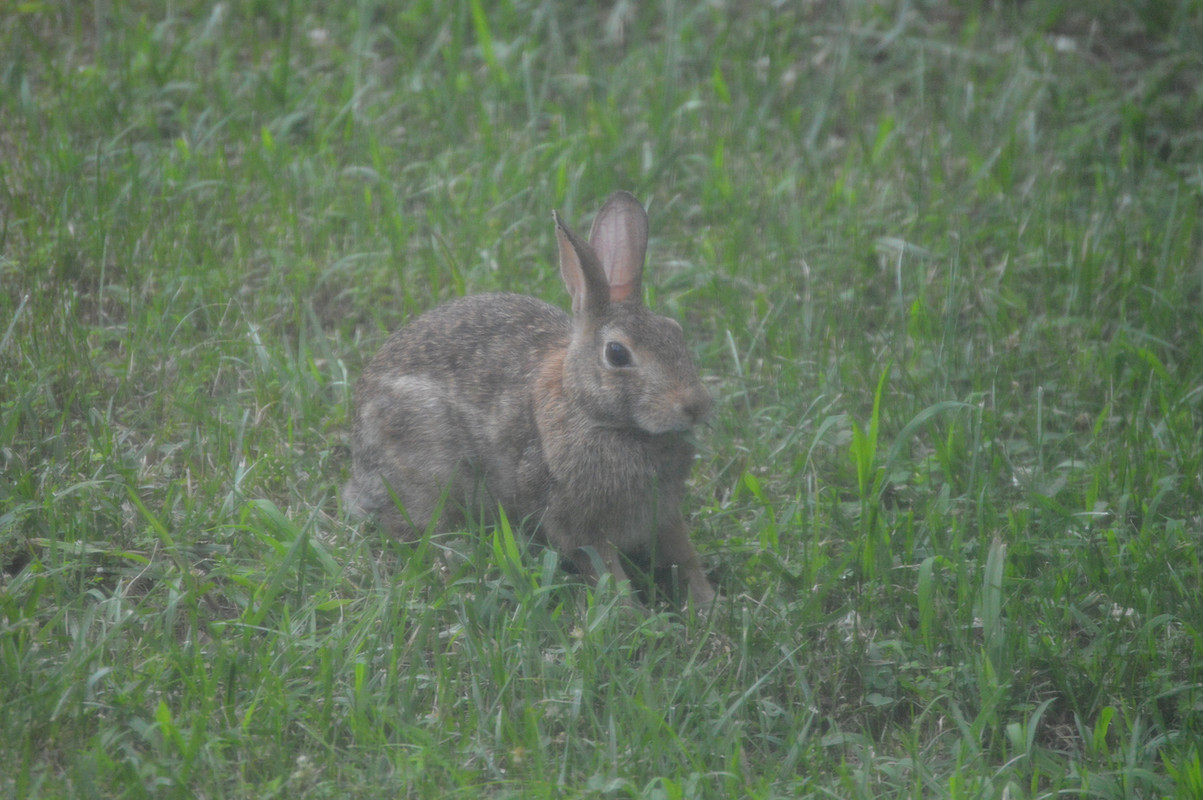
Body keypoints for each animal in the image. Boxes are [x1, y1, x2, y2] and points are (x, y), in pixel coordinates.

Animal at [343, 191, 716, 607]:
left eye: (675, 331)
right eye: (617, 354)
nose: (696, 405)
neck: (593, 412)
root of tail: (360, 473)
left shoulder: (664, 513)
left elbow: (684, 555)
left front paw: (706, 604)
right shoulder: (574, 523)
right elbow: (607, 572)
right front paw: (633, 614)